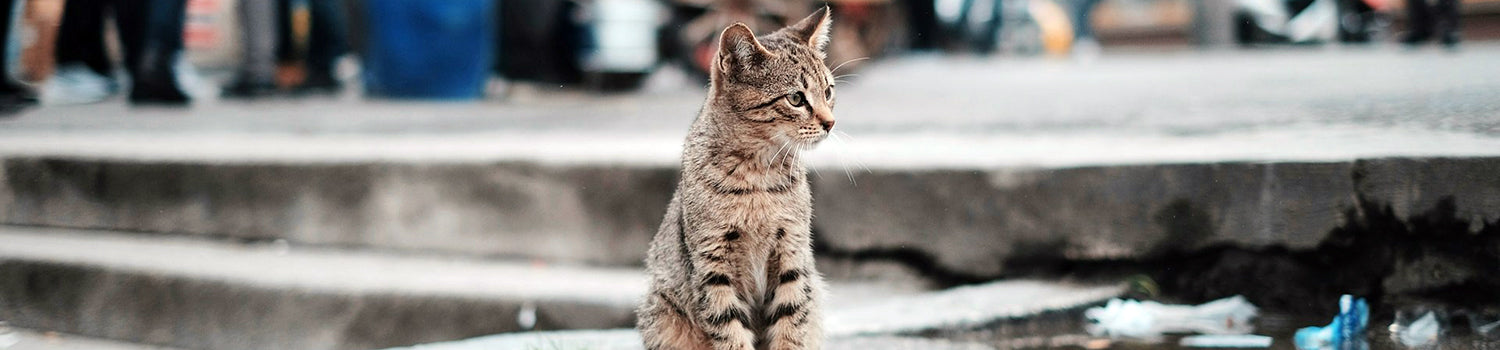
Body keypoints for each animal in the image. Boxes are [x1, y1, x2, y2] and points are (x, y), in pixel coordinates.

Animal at [636, 8, 840, 350]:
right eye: (796, 98)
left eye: (828, 92)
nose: (830, 123)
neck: (758, 175)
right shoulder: (712, 266)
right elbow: (730, 331)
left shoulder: (792, 253)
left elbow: (790, 323)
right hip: (661, 313)